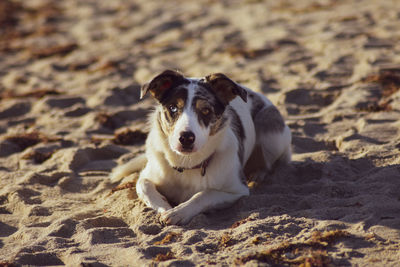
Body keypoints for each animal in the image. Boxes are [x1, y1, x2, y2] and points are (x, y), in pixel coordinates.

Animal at [111, 70, 292, 225]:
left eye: (205, 110)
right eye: (173, 108)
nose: (186, 138)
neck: (186, 164)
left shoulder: (237, 191)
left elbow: (204, 194)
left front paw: (178, 212)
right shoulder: (146, 177)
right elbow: (145, 186)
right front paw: (166, 208)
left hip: (270, 131)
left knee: (268, 162)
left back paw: (257, 174)